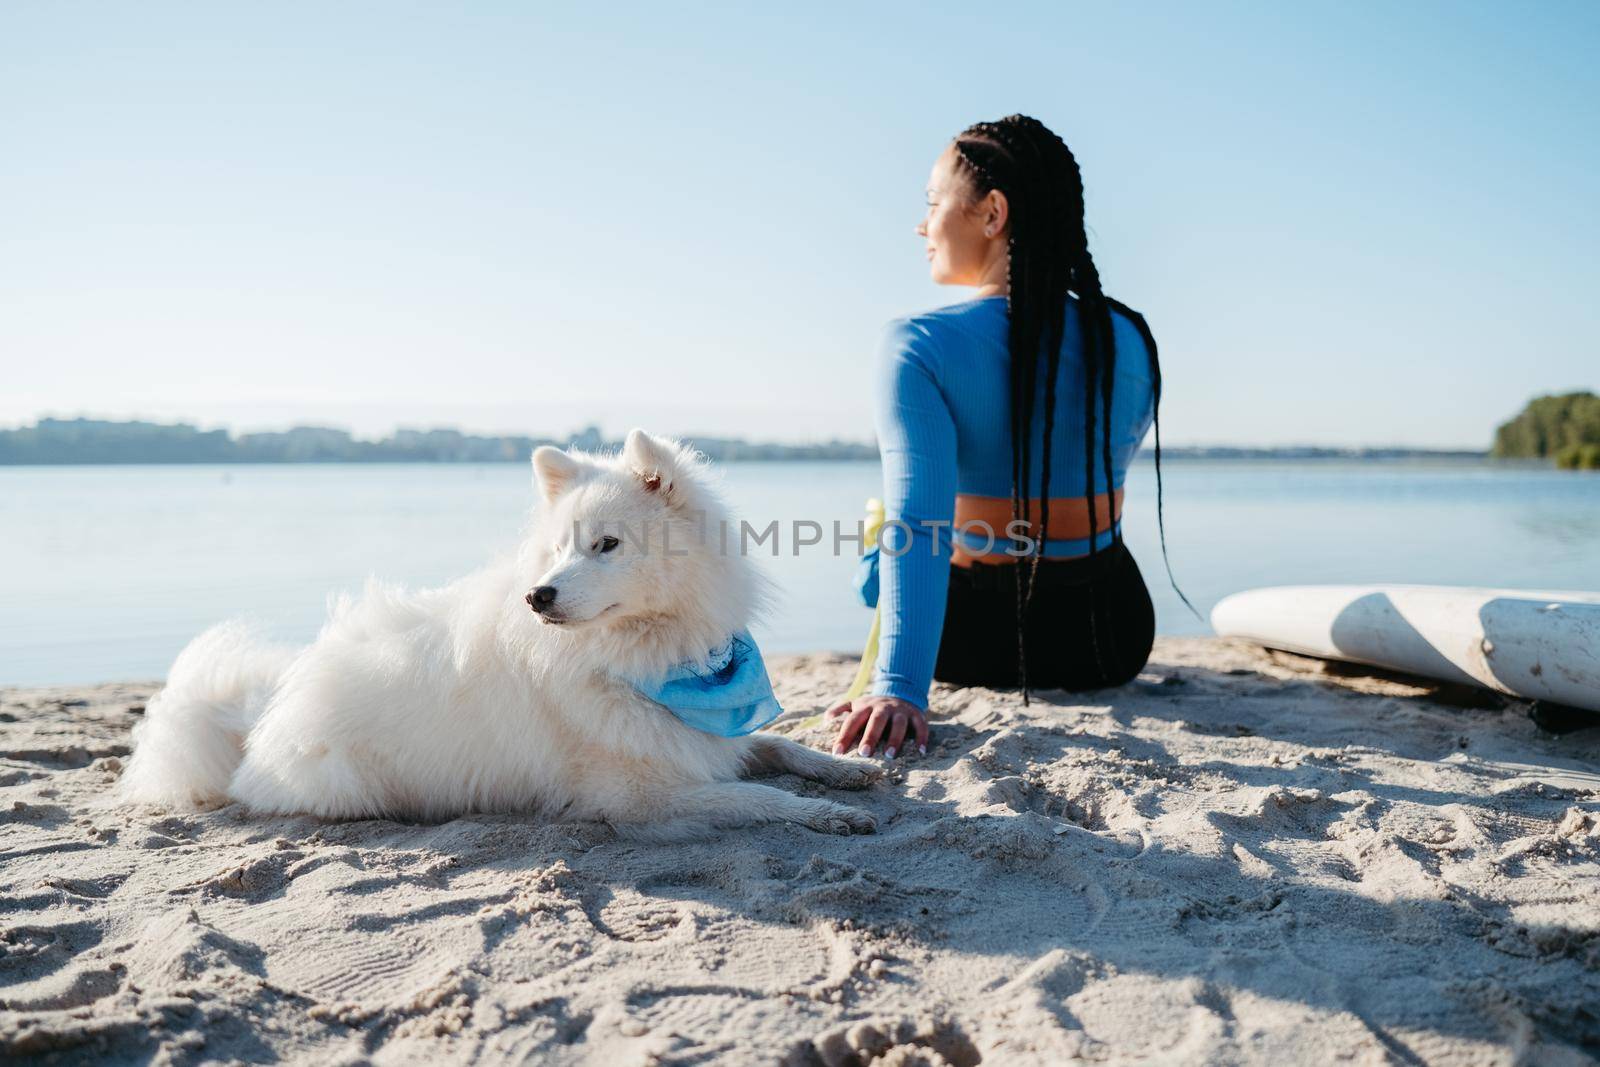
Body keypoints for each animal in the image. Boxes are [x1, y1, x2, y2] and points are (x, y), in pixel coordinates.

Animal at [120, 428, 883, 838]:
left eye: (606, 544)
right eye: (558, 549)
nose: (538, 595)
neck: (649, 657)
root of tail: (259, 715)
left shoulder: (704, 734)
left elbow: (777, 744)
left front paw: (847, 768)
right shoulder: (640, 798)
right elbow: (756, 797)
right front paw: (821, 815)